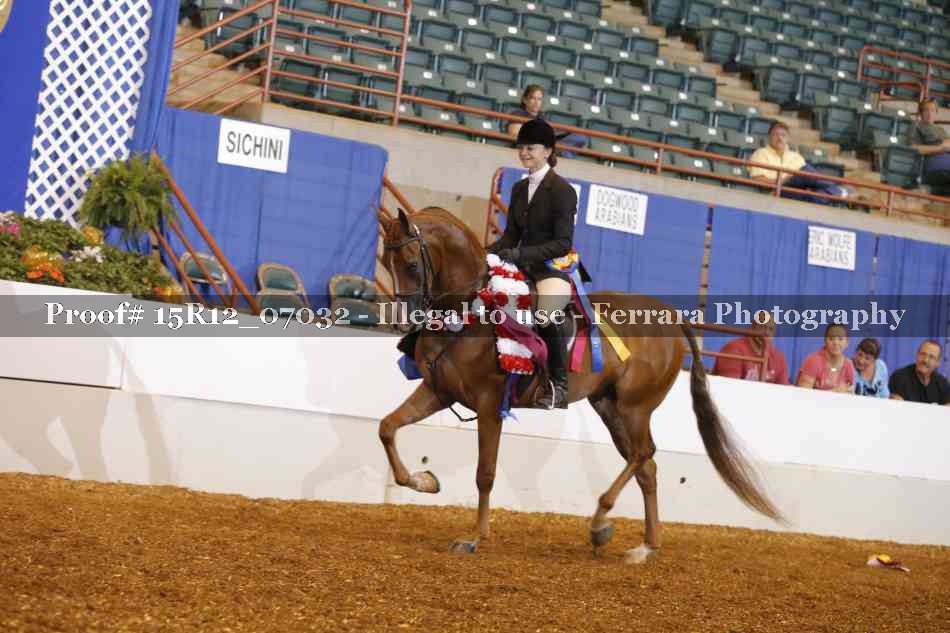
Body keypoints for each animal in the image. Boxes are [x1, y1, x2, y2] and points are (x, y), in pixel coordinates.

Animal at [379, 206, 782, 563]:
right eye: (385, 263)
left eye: (412, 264)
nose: (402, 323)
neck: (468, 314)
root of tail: (669, 316)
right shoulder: (437, 391)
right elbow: (388, 427)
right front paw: (424, 481)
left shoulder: (490, 405)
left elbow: (485, 474)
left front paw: (475, 538)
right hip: (609, 407)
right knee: (646, 467)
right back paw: (644, 547)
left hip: (635, 407)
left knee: (642, 455)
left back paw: (601, 522)